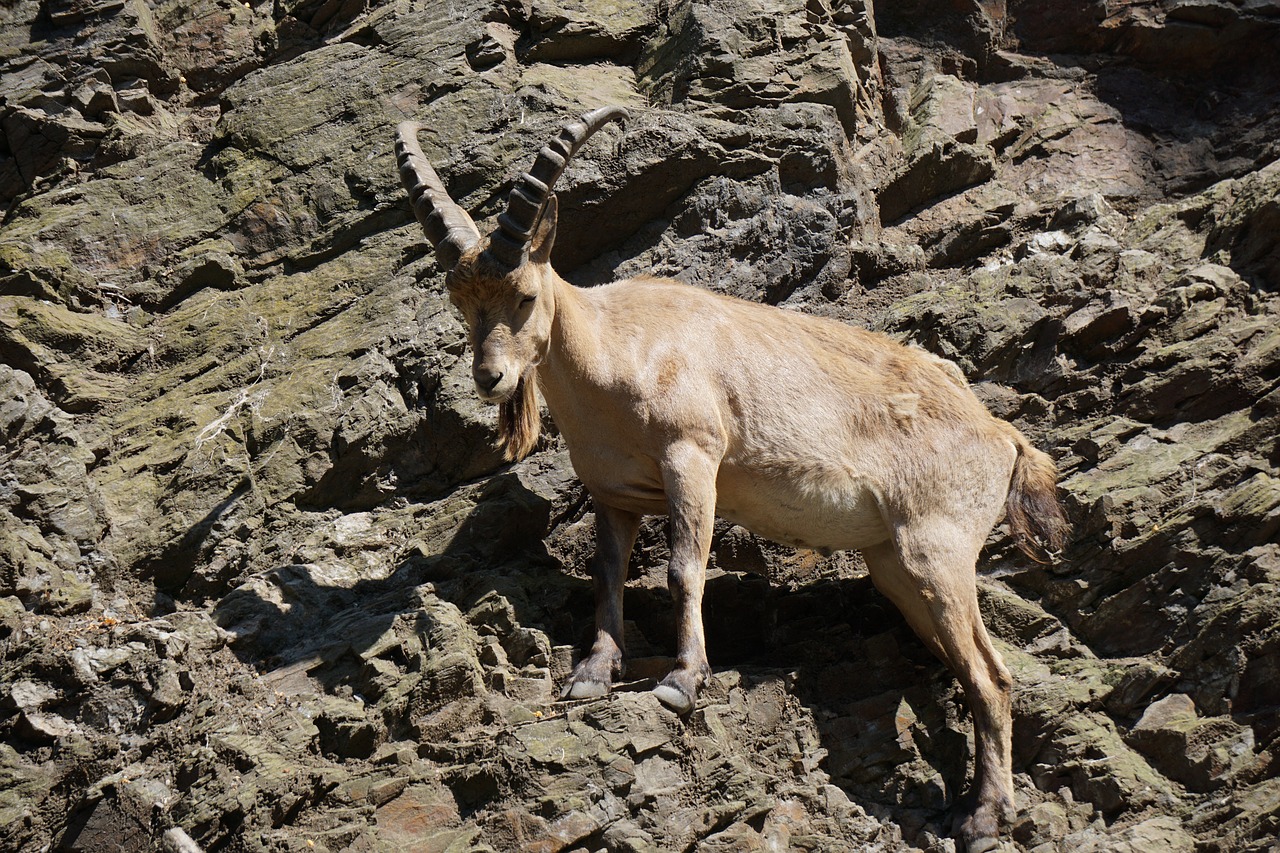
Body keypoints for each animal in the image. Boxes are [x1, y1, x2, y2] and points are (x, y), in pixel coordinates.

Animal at [394, 108, 1064, 850]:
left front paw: (682, 680)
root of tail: (1003, 438)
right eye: (461, 301)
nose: (491, 378)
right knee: (966, 669)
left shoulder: (692, 457)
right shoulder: (615, 494)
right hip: (895, 565)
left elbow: (684, 568)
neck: (614, 349)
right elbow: (607, 576)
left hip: (937, 548)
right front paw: (593, 675)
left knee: (994, 677)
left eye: (524, 293)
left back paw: (984, 816)